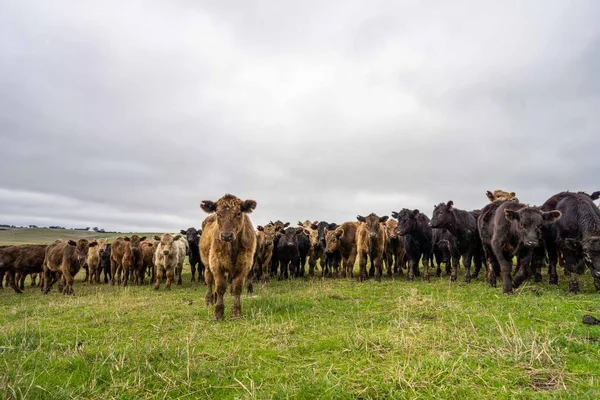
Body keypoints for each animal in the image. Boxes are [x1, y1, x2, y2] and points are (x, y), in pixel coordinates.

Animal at [200, 192, 256, 320]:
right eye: (218, 213)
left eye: (238, 213)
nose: (226, 236)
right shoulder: (216, 265)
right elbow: (220, 287)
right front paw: (218, 313)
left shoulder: (244, 266)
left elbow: (237, 288)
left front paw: (236, 313)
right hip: (207, 265)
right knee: (209, 281)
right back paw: (209, 301)